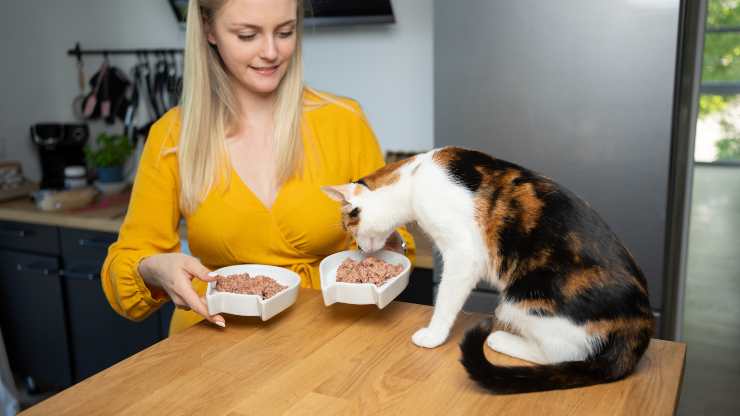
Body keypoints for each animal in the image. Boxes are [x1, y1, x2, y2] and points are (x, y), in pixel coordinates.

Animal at [322, 146, 652, 394]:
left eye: (348, 228)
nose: (360, 249)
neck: (414, 179)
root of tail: (641, 323)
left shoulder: (463, 255)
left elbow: (445, 300)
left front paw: (433, 335)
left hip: (519, 301)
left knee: (563, 353)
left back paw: (500, 339)